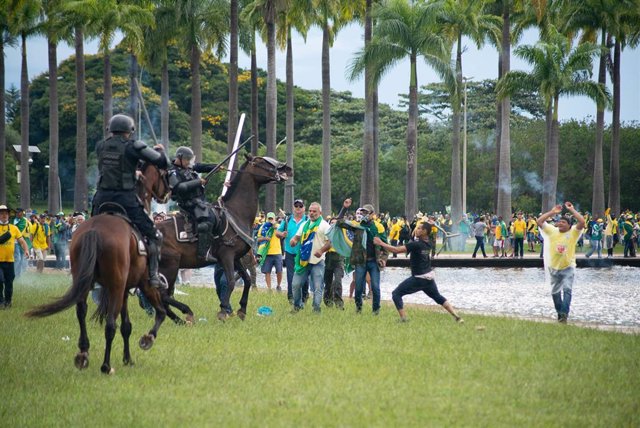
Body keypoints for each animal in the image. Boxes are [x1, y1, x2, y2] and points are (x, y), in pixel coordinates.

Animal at [26, 162, 170, 372]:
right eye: (164, 172)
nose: (167, 193)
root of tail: (95, 230)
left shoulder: (125, 290)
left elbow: (127, 326)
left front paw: (128, 359)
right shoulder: (142, 284)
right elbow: (160, 313)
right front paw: (147, 339)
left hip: (89, 283)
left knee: (81, 311)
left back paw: (83, 353)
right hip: (117, 287)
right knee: (110, 325)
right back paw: (106, 365)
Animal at [159, 155, 292, 320]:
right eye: (260, 161)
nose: (287, 168)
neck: (236, 212)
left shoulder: (236, 258)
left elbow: (247, 280)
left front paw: (242, 309)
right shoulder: (227, 256)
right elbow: (230, 282)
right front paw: (223, 310)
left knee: (163, 296)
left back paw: (179, 318)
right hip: (170, 266)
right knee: (164, 295)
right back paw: (186, 312)